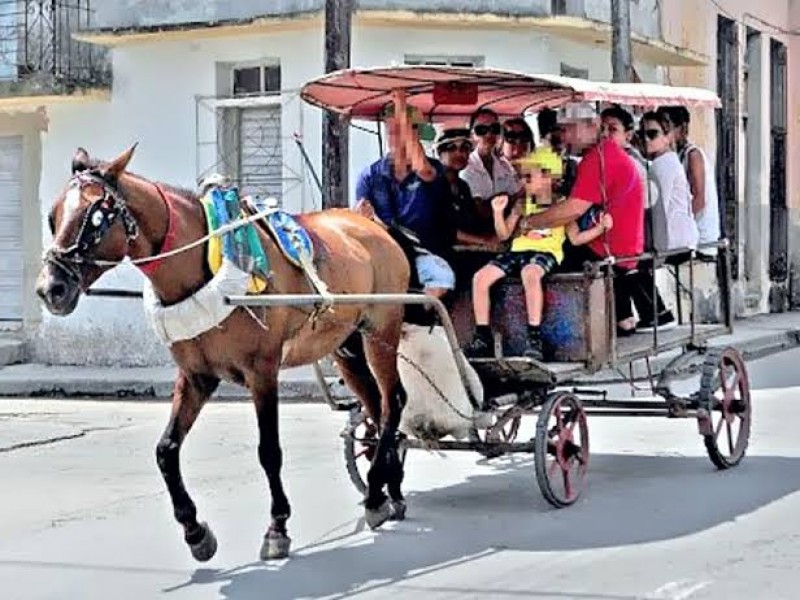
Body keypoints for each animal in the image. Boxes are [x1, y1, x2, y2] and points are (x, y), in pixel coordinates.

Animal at [36, 146, 412, 564]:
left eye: (96, 216)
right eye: (53, 215)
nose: (50, 289)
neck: (203, 265)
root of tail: (372, 223)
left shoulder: (262, 370)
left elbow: (269, 451)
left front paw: (277, 527)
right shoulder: (196, 376)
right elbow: (166, 450)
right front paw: (195, 531)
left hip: (381, 329)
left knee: (393, 401)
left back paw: (377, 489)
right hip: (346, 345)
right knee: (376, 407)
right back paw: (388, 491)